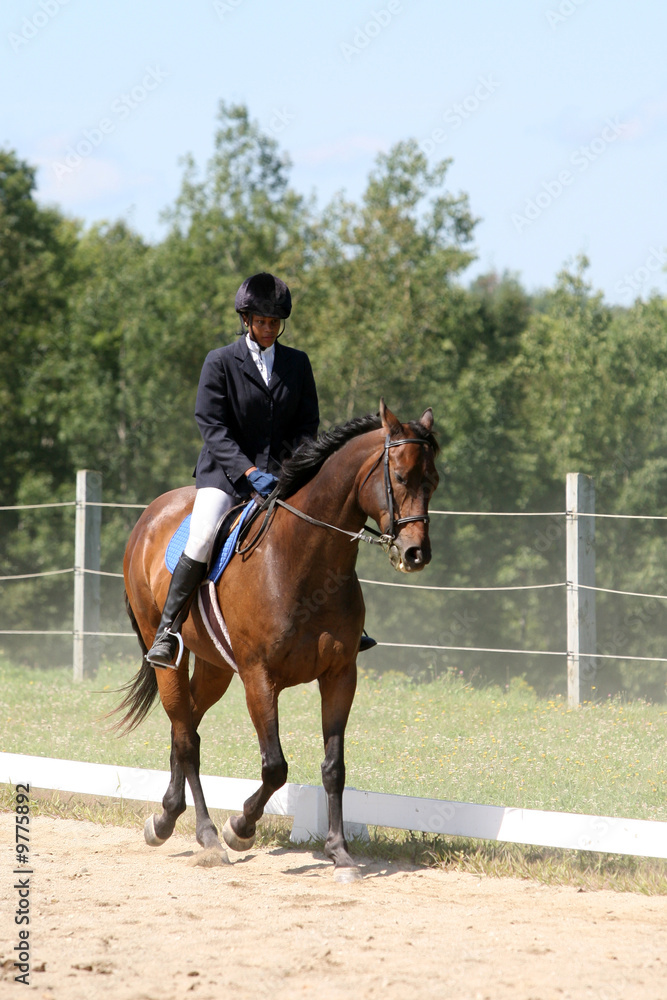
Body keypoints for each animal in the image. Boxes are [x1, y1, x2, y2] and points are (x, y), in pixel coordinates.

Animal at [115, 402, 438, 880]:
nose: (416, 554)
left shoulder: (340, 675)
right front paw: (239, 828)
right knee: (187, 738)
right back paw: (208, 836)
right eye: (398, 477)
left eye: (432, 480)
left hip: (214, 668)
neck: (306, 560)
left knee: (185, 728)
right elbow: (275, 767)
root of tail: (150, 514)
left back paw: (166, 818)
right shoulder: (258, 677)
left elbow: (334, 767)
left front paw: (340, 853)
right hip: (169, 658)